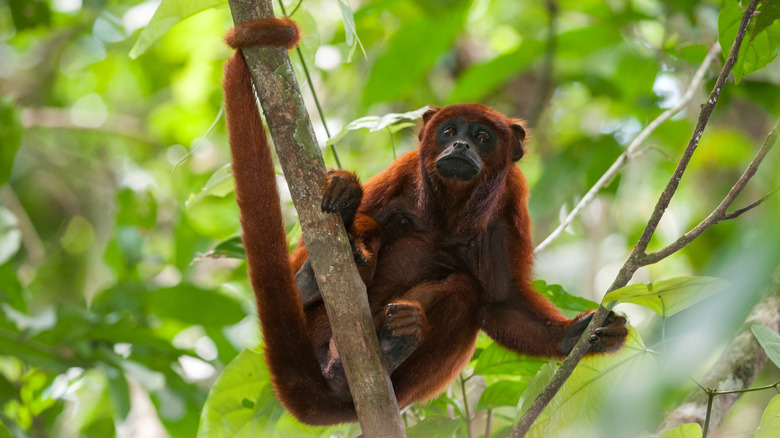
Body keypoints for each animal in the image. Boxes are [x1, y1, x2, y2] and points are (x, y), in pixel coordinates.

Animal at [221, 16, 628, 424]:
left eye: (482, 137)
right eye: (449, 131)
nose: (461, 145)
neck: (449, 211)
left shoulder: (510, 205)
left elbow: (502, 300)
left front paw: (573, 335)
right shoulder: (403, 170)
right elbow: (318, 237)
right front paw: (347, 199)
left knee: (466, 290)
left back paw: (391, 345)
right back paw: (317, 276)